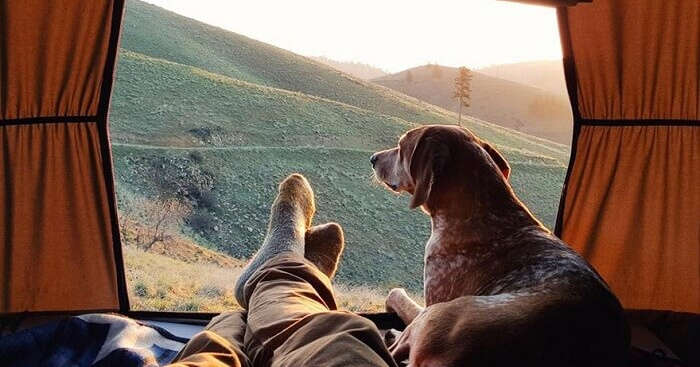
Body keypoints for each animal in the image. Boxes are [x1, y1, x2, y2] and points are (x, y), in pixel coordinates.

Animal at [372, 125, 628, 366]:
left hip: (435, 316)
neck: (484, 212)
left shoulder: (432, 301)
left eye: (401, 146)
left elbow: (397, 294)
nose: (373, 158)